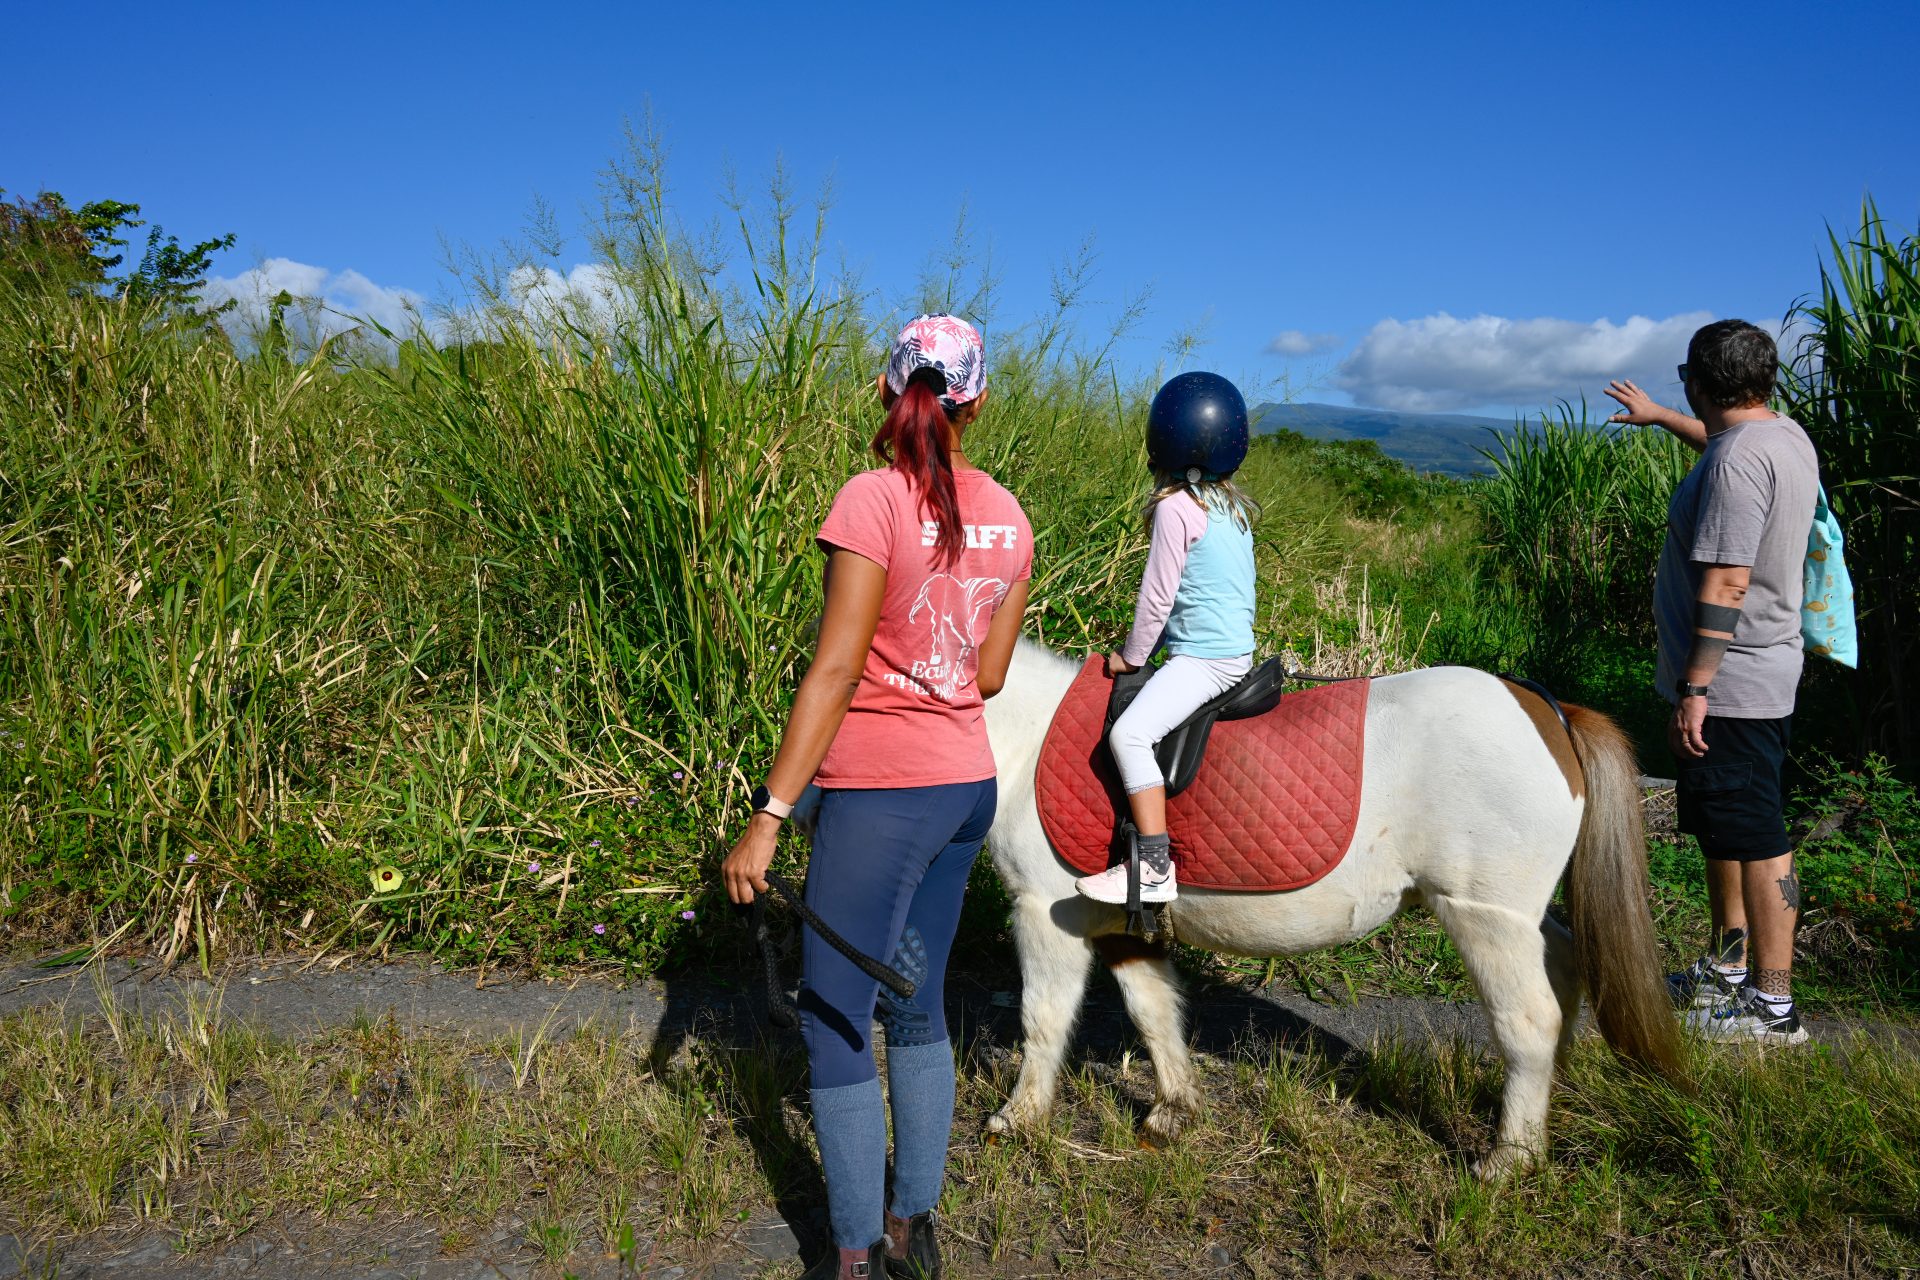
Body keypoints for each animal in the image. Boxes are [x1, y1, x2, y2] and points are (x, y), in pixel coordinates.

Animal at [975, 640, 1681, 1182]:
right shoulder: (1125, 927)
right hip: (1521, 919)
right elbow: (1154, 1011)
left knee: (1530, 1023)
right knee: (1564, 970)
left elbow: (1043, 1019)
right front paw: (1175, 1111)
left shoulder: (1046, 914)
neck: (1027, 737)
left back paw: (1510, 1159)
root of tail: (1549, 711)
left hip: (1486, 919)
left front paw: (1018, 1119)